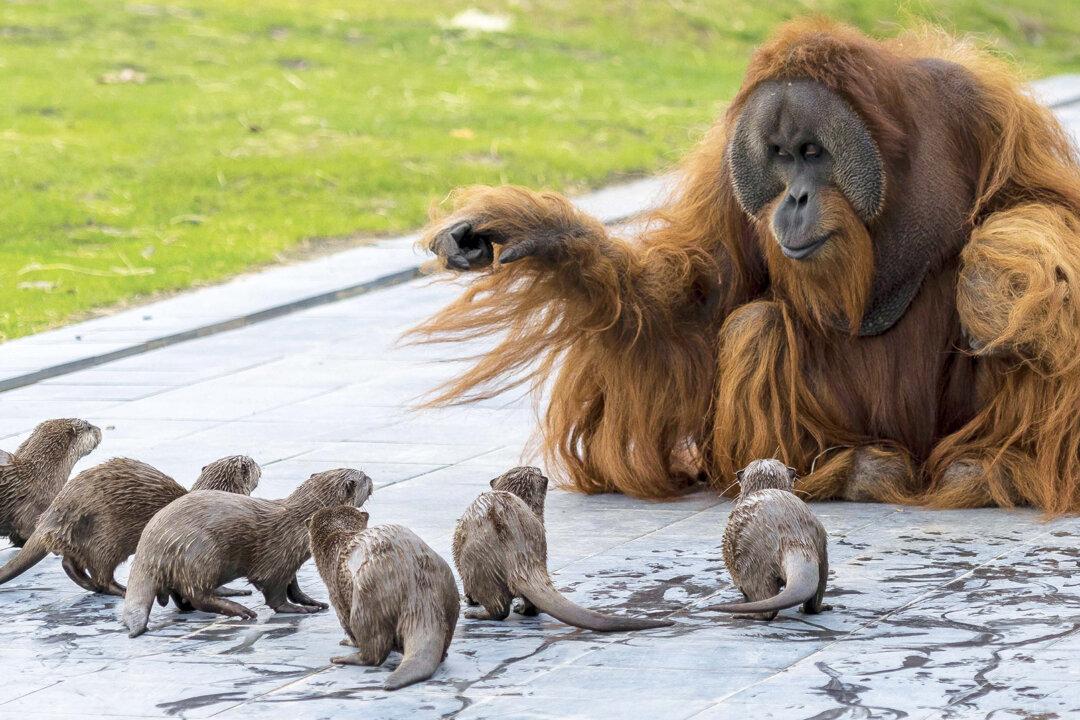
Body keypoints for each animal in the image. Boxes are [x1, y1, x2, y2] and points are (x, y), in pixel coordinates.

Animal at [0, 455, 260, 596]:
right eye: (253, 463)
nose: (257, 464)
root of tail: (55, 511)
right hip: (106, 538)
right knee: (100, 571)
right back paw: (120, 589)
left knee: (70, 562)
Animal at [123, 467, 372, 637]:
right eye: (364, 478)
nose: (371, 479)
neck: (298, 525)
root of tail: (150, 547)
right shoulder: (276, 560)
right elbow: (276, 594)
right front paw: (299, 609)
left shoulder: (289, 561)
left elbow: (294, 586)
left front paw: (312, 602)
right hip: (202, 554)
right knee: (198, 595)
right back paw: (240, 610)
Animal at [309, 506, 459, 690]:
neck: (338, 540)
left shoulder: (335, 591)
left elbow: (345, 623)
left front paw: (348, 641)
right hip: (449, 586)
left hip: (367, 597)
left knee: (374, 650)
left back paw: (346, 658)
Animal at [454, 466, 672, 632]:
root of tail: (519, 554)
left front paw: (469, 600)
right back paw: (521, 608)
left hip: (477, 563)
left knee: (497, 607)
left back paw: (475, 613)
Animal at [708, 458, 829, 620]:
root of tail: (792, 537)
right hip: (821, 548)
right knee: (815, 597)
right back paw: (820, 607)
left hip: (752, 564)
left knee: (766, 609)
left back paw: (744, 614)